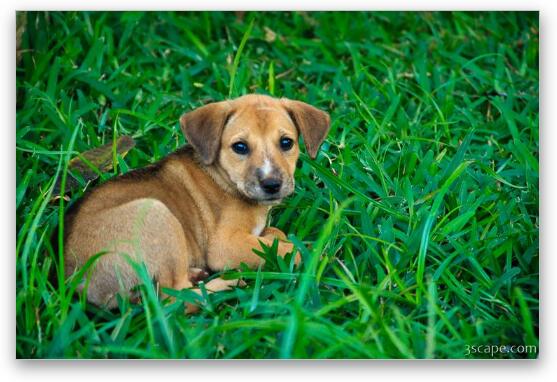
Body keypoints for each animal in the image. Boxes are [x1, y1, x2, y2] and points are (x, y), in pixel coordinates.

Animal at [62, 94, 330, 312]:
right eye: (240, 147)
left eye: (286, 143)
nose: (272, 184)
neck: (225, 179)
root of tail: (79, 284)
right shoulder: (224, 246)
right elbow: (295, 252)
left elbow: (276, 235)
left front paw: (274, 235)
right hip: (155, 213)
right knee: (175, 298)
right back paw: (225, 284)